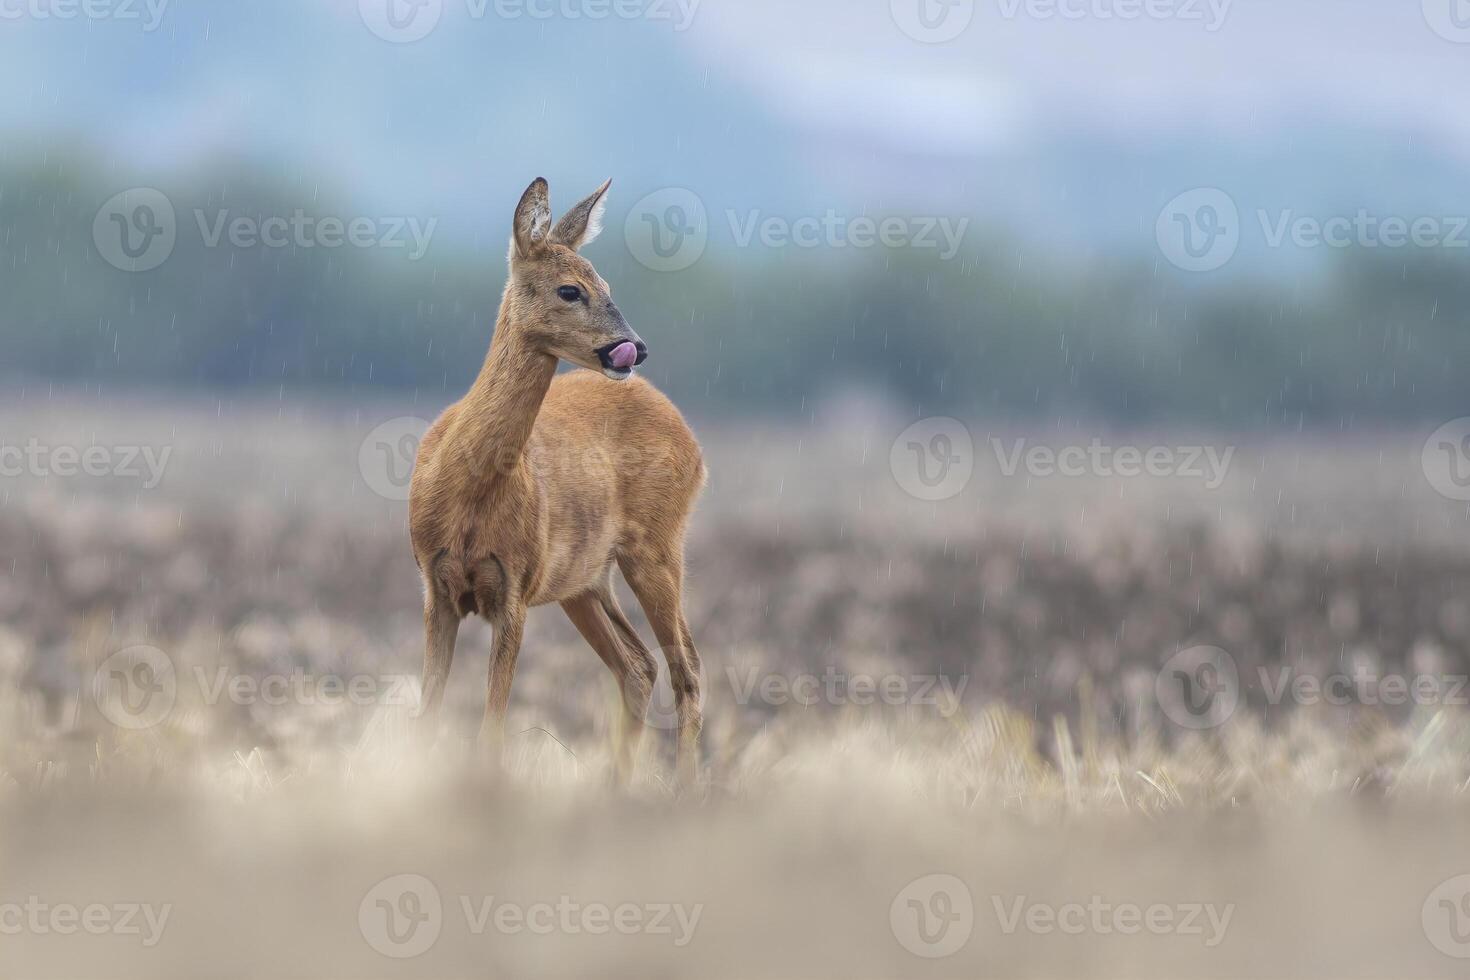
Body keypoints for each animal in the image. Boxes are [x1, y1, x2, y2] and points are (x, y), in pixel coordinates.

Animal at [408, 176, 705, 787]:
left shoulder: (515, 586)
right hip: (586, 580)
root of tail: (691, 439)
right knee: (638, 666)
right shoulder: (435, 585)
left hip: (657, 547)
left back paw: (686, 792)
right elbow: (429, 716)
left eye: (606, 282)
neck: (469, 493)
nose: (634, 348)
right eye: (571, 289)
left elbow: (491, 727)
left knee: (685, 669)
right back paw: (615, 789)